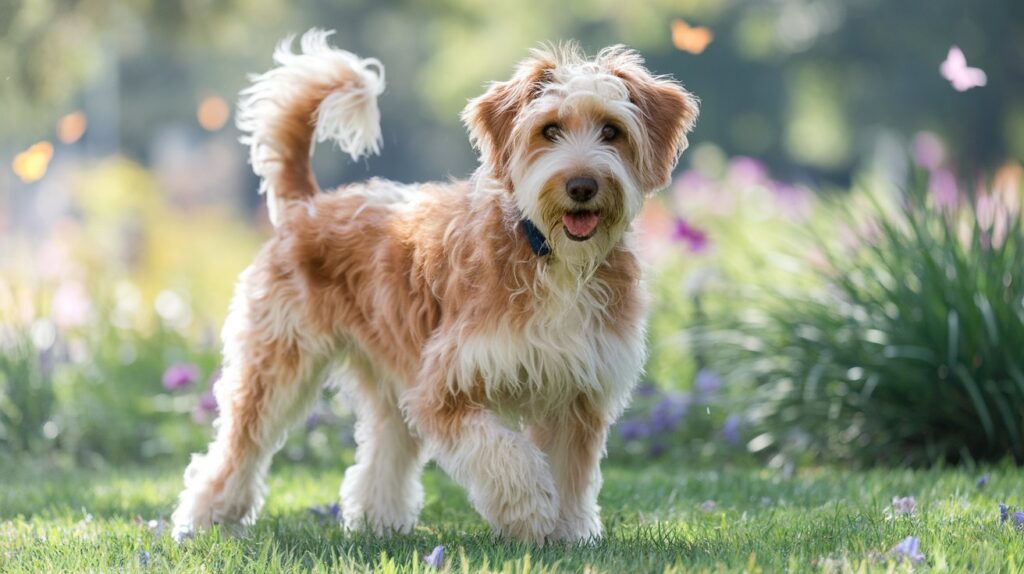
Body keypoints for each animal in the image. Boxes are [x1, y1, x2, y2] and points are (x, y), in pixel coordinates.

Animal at [172, 29, 700, 544]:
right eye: (550, 129)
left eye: (612, 130)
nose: (583, 186)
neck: (547, 254)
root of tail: (309, 204)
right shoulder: (444, 385)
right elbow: (506, 456)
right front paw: (531, 514)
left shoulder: (578, 393)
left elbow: (571, 474)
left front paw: (568, 534)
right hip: (275, 367)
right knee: (237, 448)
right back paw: (206, 517)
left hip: (390, 375)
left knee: (384, 450)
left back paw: (379, 521)